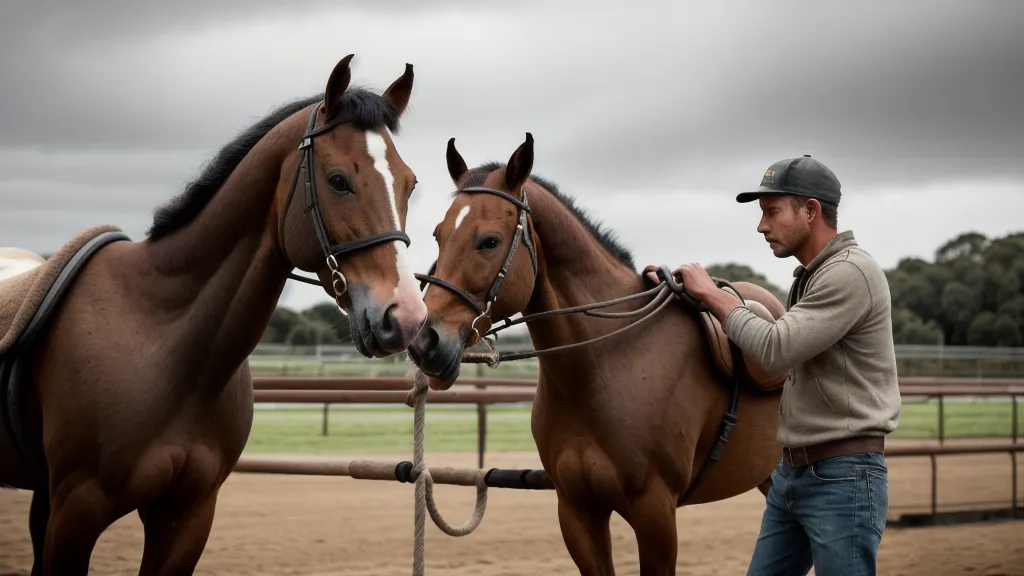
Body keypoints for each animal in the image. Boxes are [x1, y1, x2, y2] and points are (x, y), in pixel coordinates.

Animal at [0, 54, 427, 575]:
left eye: (410, 184)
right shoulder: (77, 509)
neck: (163, 341)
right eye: (338, 180)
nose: (405, 315)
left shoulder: (187, 516)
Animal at [408, 133, 789, 575]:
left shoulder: (655, 513)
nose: (425, 342)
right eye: (438, 235)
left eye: (489, 241)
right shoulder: (577, 510)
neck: (604, 362)